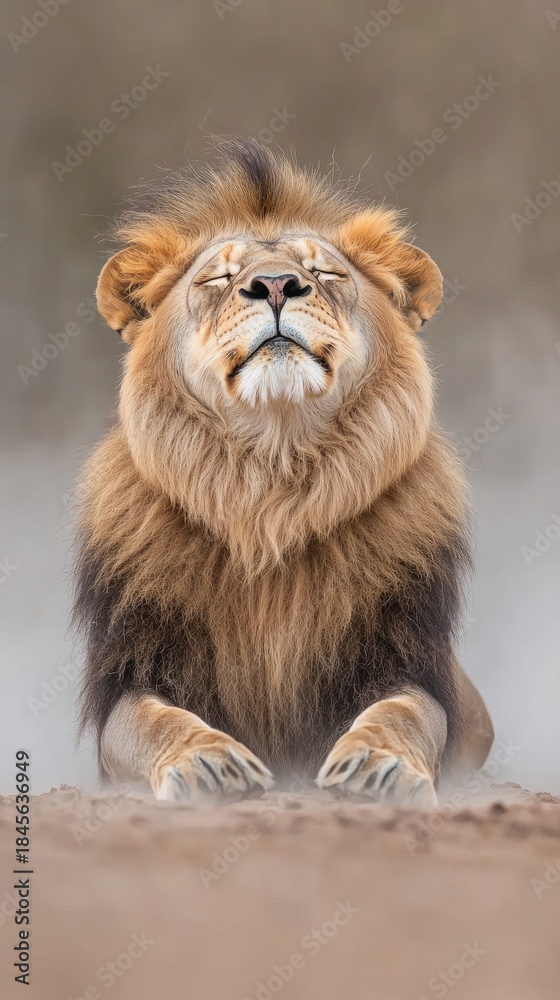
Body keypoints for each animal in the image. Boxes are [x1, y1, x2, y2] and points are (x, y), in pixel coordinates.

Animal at [75, 138, 493, 806]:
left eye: (326, 274)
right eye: (218, 278)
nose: (275, 283)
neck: (272, 480)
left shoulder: (406, 661)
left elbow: (401, 713)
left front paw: (377, 765)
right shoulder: (134, 671)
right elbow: (155, 722)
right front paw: (209, 763)